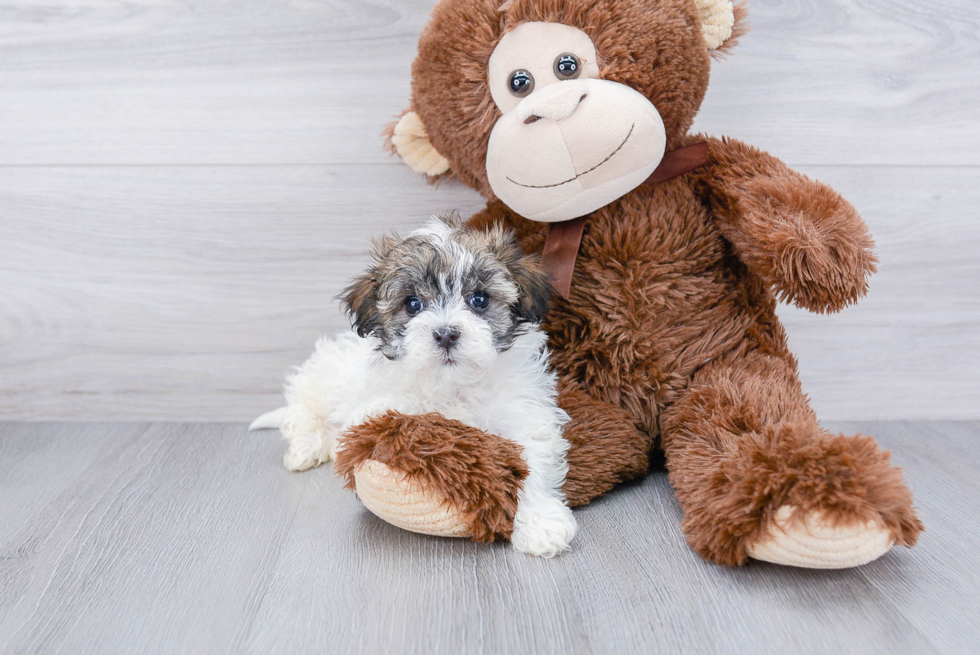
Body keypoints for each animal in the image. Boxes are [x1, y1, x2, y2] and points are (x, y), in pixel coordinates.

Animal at [249, 217, 580, 560]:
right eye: (412, 304)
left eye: (479, 299)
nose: (446, 333)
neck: (453, 384)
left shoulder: (524, 414)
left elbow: (534, 464)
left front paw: (541, 523)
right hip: (321, 379)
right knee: (303, 414)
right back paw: (304, 448)